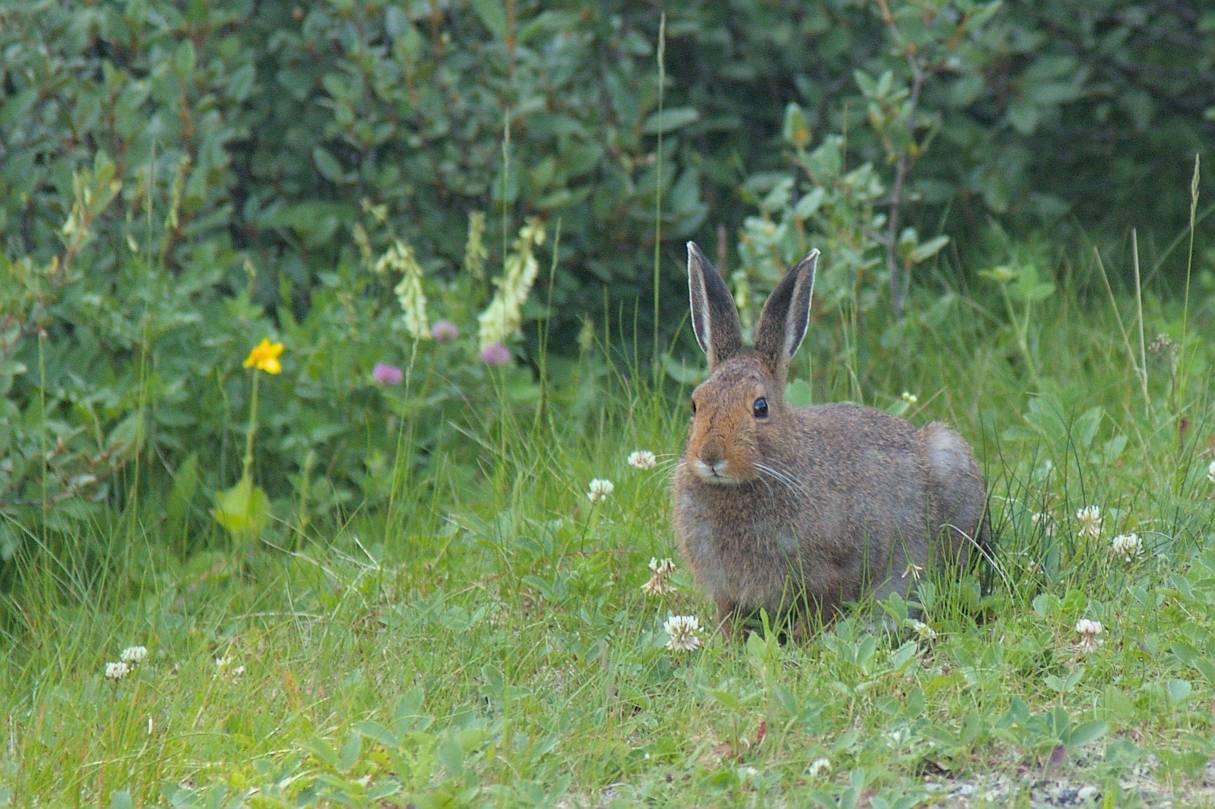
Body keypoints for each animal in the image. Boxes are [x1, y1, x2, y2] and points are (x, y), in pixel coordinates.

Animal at [673, 242, 990, 638]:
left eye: (760, 407)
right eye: (695, 403)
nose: (711, 456)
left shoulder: (832, 573)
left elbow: (817, 615)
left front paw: (798, 643)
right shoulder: (726, 592)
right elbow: (730, 619)